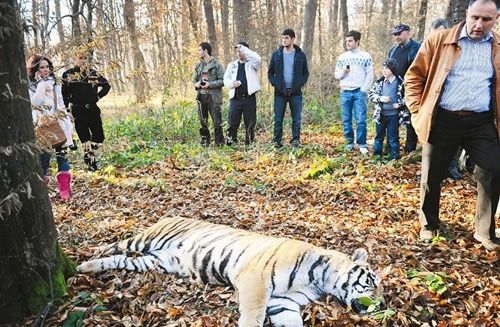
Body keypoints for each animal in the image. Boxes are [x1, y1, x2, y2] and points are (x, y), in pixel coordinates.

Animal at [78, 218, 380, 327]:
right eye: (370, 284)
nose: (380, 306)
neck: (321, 280)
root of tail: (170, 214)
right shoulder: (255, 281)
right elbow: (253, 315)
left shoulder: (283, 302)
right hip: (146, 239)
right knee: (119, 244)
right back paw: (90, 254)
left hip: (155, 262)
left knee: (120, 259)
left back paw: (87, 267)